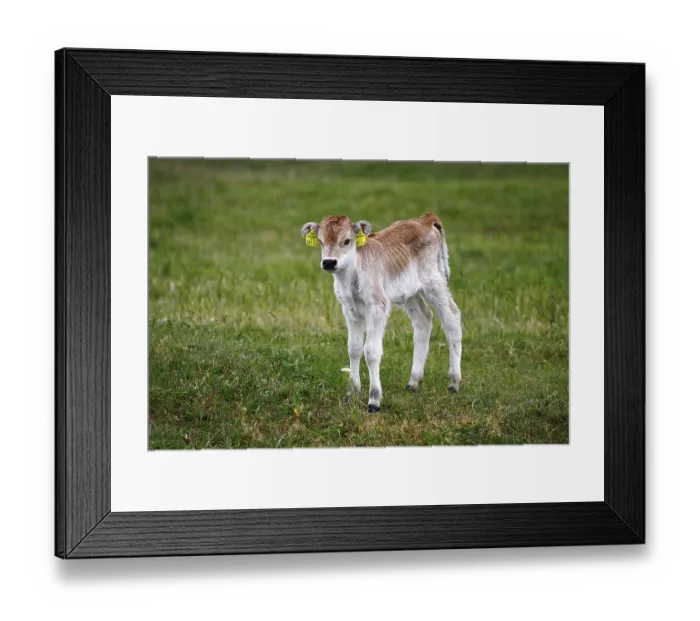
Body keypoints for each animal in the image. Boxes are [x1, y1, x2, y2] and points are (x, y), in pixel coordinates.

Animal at [300, 213, 462, 413]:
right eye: (321, 242)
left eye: (346, 241)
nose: (329, 262)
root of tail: (425, 219)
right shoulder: (349, 310)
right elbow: (354, 348)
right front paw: (351, 395)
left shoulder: (378, 306)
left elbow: (371, 351)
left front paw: (374, 400)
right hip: (410, 293)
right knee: (423, 319)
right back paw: (413, 382)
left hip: (434, 282)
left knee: (452, 317)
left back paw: (454, 382)